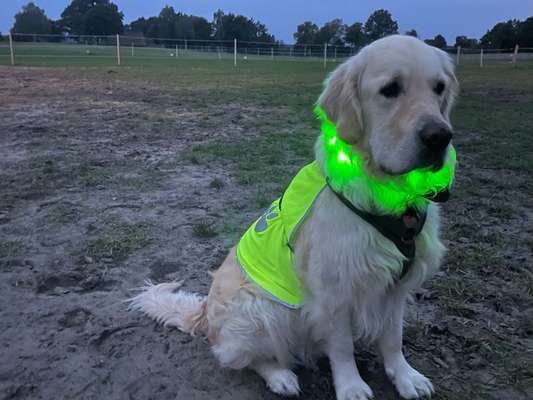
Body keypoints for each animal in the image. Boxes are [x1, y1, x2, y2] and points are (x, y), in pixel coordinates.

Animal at [132, 35, 458, 400]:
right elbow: (342, 346)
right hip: (259, 310)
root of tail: (205, 312)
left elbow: (392, 338)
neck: (390, 197)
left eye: (439, 88)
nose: (439, 136)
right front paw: (351, 386)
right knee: (244, 357)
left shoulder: (396, 283)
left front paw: (405, 376)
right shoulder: (334, 288)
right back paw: (280, 376)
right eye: (390, 89)